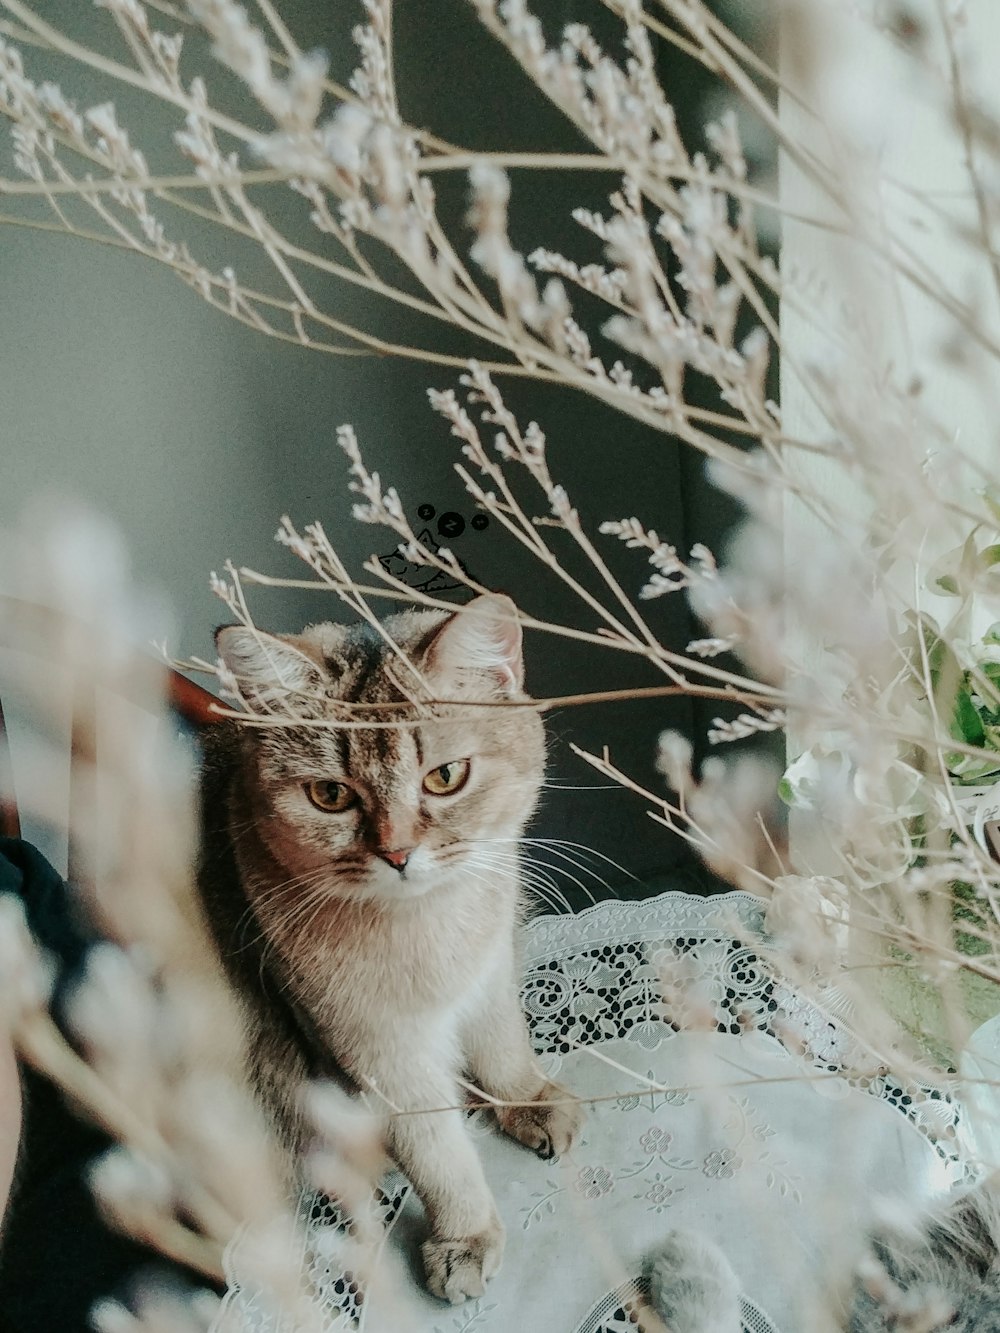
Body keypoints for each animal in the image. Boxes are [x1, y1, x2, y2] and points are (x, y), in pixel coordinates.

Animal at [197, 594, 584, 1301]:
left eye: (446, 777)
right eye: (330, 795)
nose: (398, 853)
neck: (427, 924)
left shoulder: (490, 975)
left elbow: (504, 1048)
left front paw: (524, 1100)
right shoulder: (376, 1048)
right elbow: (434, 1150)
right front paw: (463, 1237)